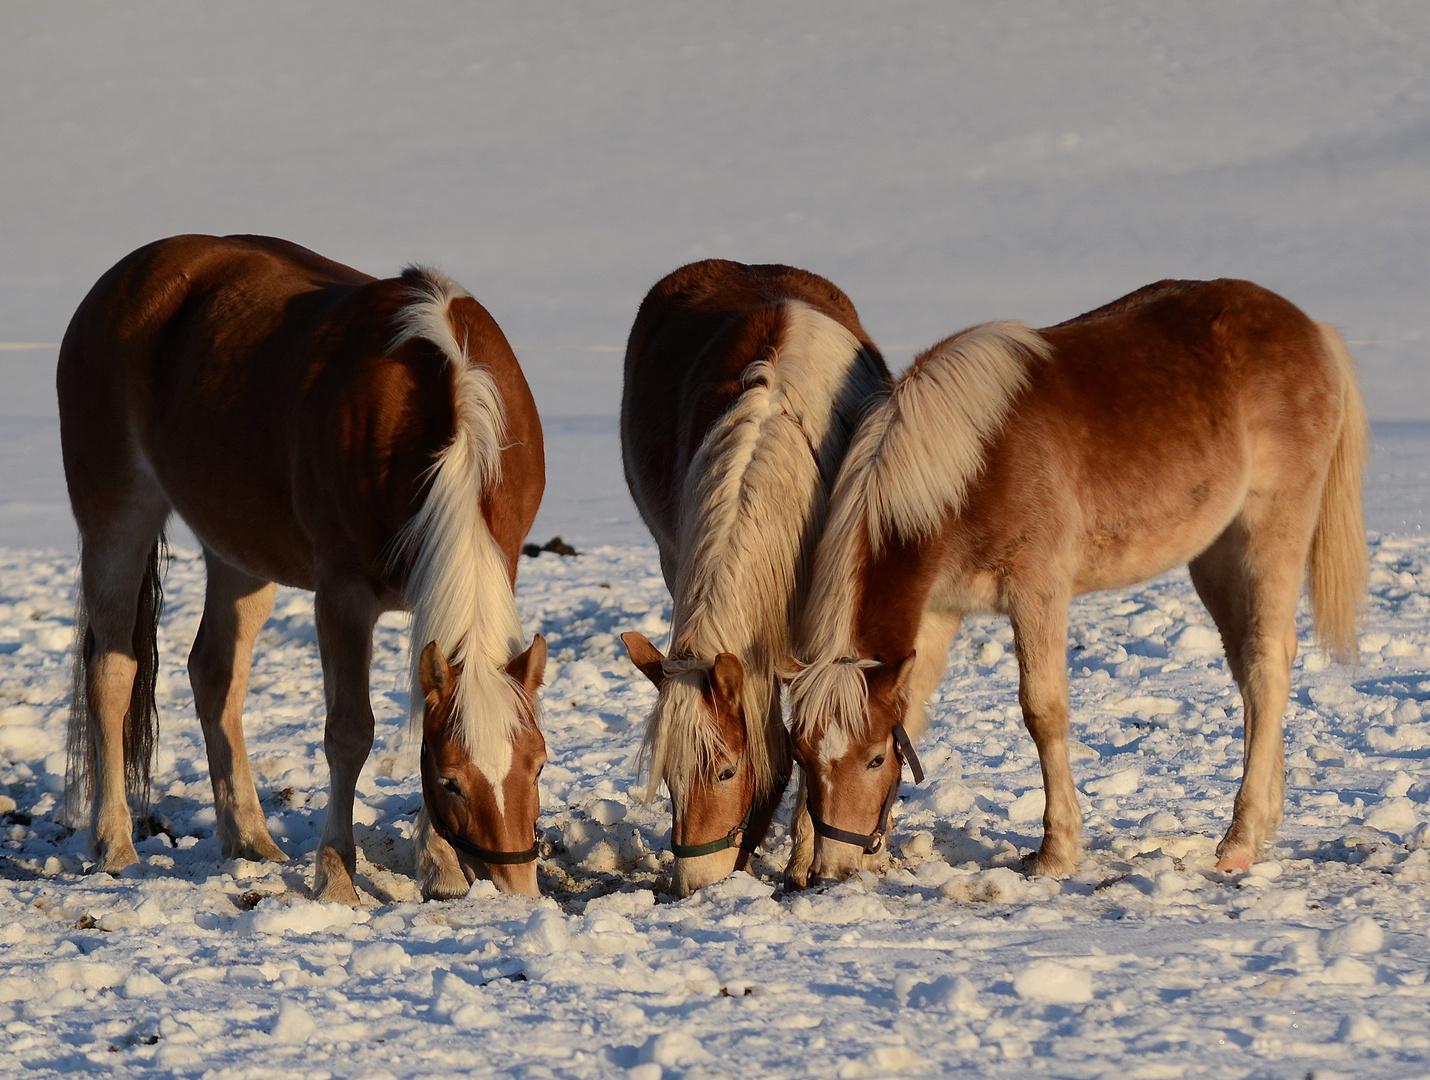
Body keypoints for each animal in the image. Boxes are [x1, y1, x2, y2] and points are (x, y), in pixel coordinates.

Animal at [58, 236, 546, 904]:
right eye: (449, 780)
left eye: (539, 764)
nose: (517, 884)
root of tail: (124, 280)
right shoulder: (343, 596)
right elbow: (350, 732)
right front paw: (338, 876)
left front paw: (440, 867)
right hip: (115, 523)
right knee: (112, 673)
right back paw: (115, 845)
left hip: (239, 553)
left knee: (215, 674)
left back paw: (250, 839)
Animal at [789, 278, 1367, 886]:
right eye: (802, 756)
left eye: (875, 758)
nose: (834, 870)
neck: (968, 467)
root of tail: (1310, 330)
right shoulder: (940, 609)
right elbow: (915, 705)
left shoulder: (1036, 591)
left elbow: (1042, 712)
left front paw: (1056, 851)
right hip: (1217, 554)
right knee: (1254, 666)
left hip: (1271, 528)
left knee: (1265, 664)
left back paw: (1242, 838)